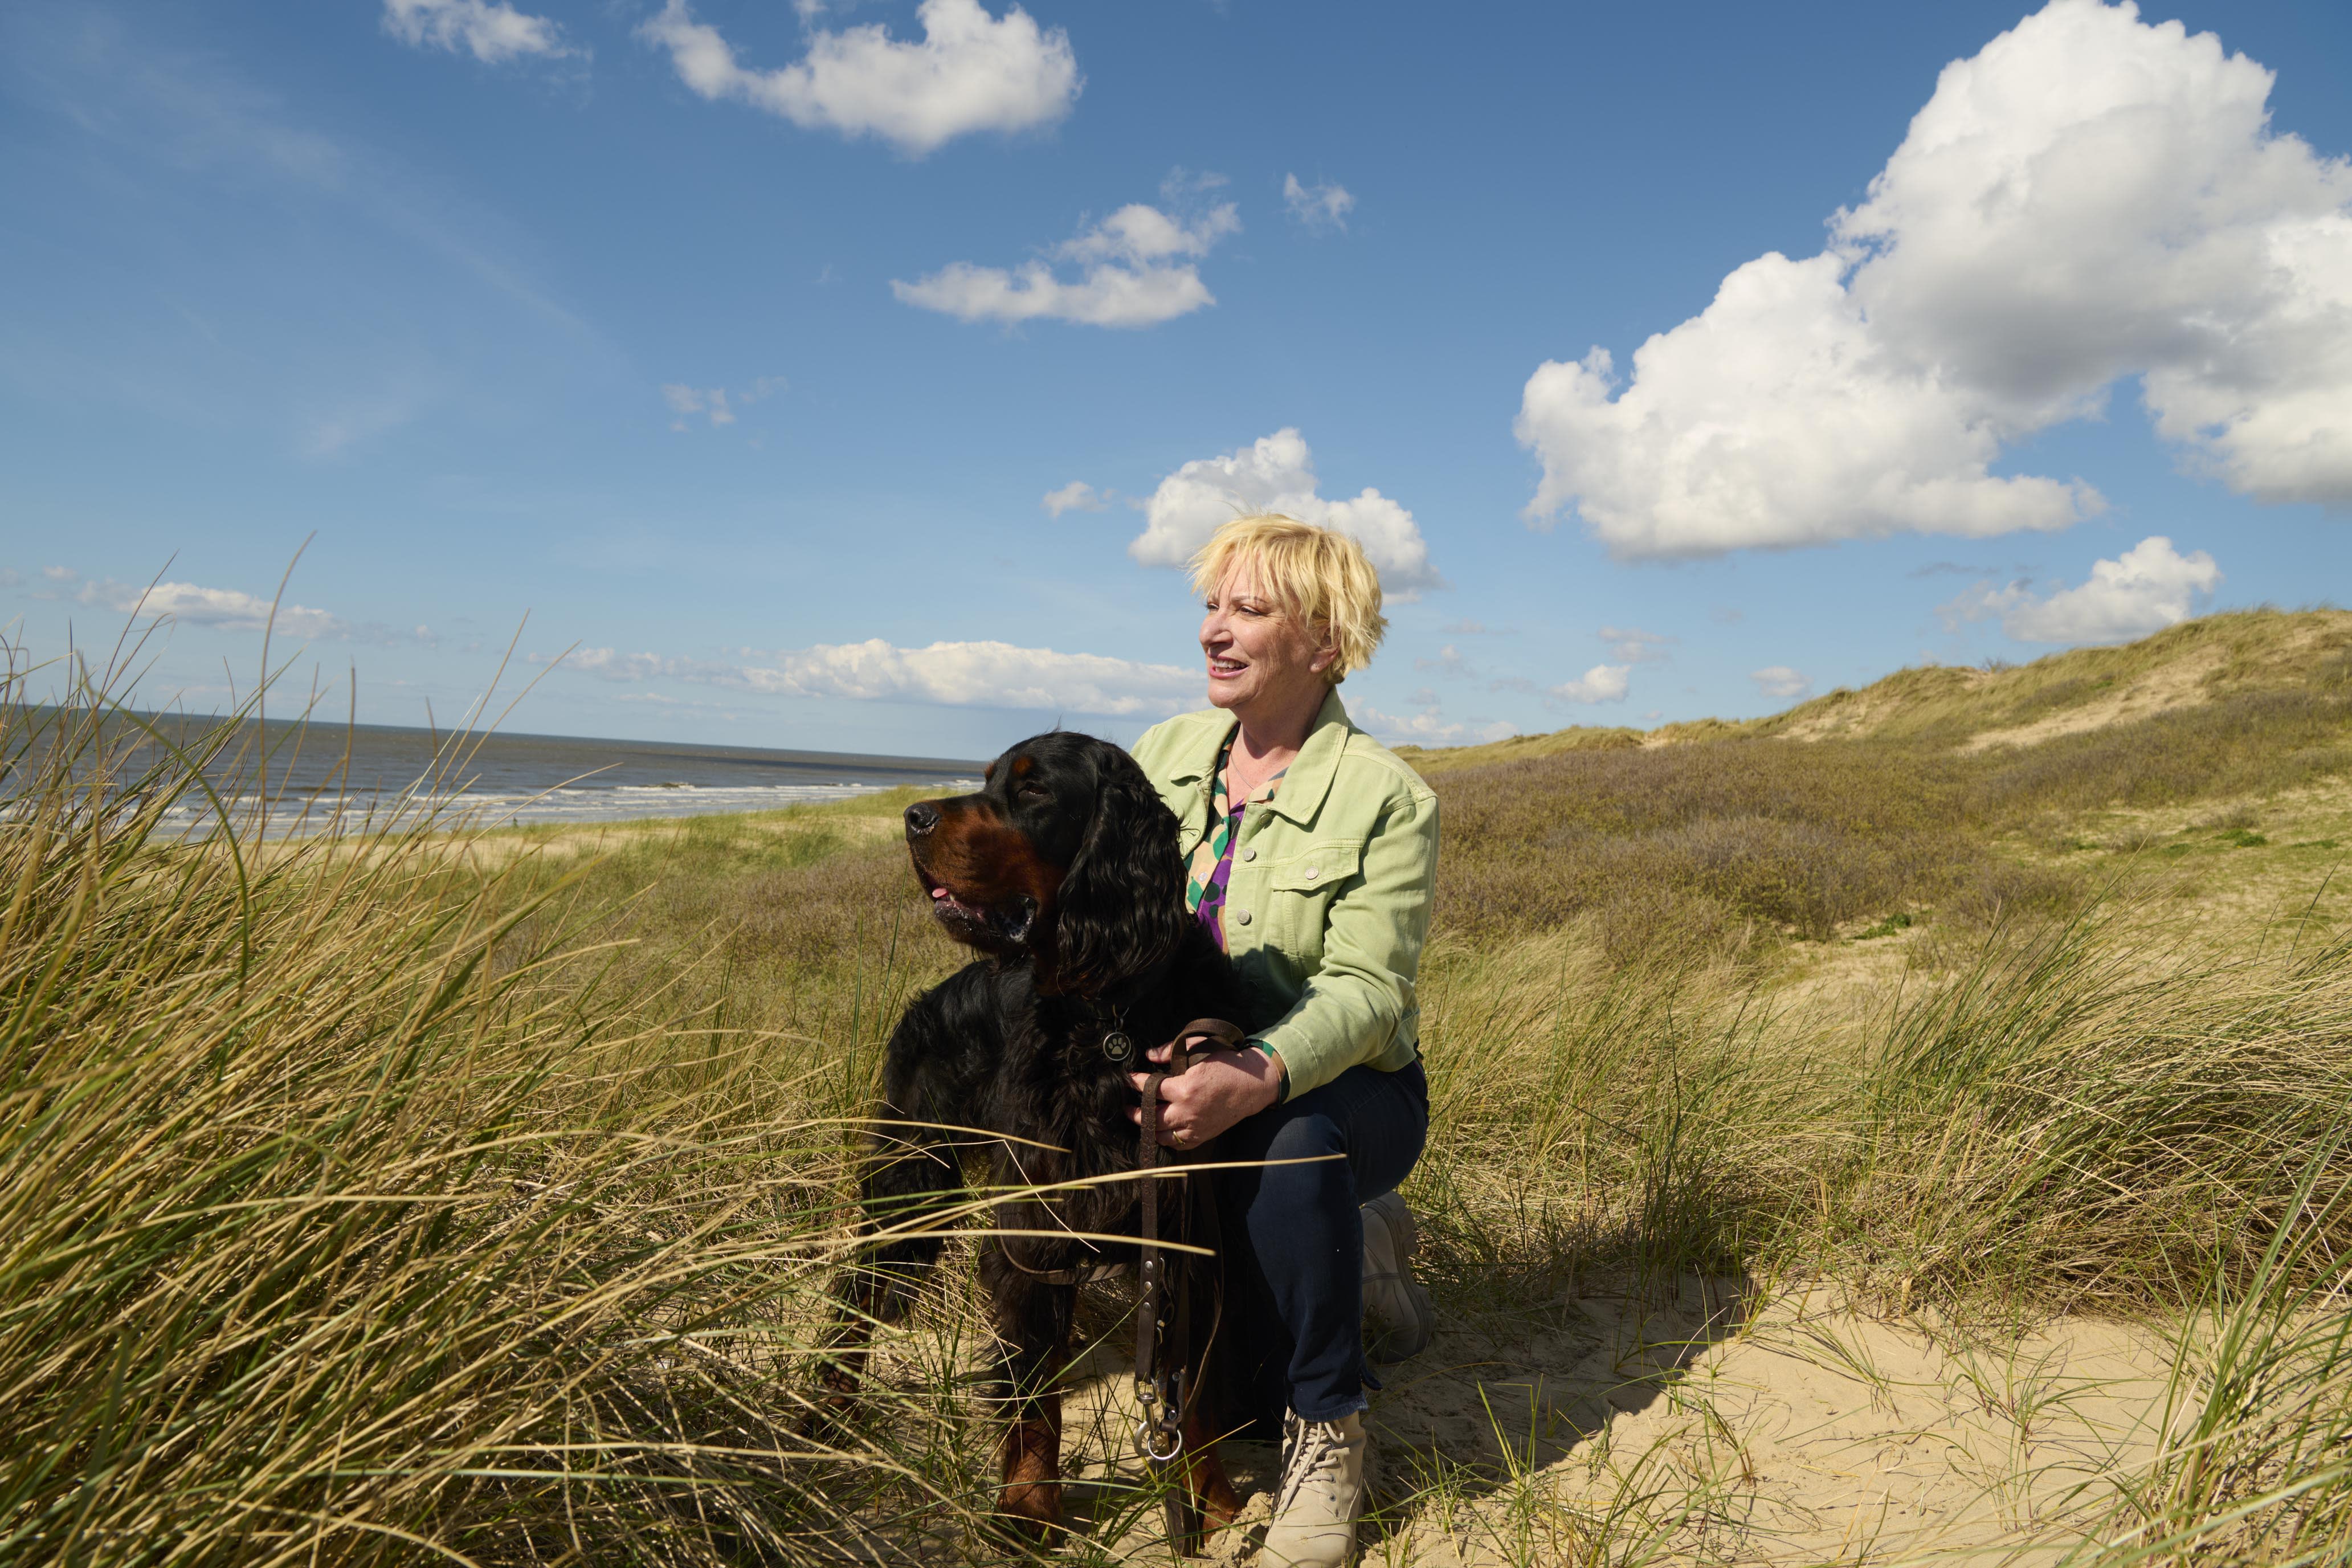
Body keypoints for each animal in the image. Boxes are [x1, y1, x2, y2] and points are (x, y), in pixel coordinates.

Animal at [837, 738, 1260, 1542]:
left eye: (1033, 792)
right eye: (987, 780)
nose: (914, 816)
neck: (1110, 1019)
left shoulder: (1187, 1227)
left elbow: (1189, 1385)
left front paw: (1210, 1496)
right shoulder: (1034, 1225)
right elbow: (1033, 1389)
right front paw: (1030, 1505)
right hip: (911, 1176)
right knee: (855, 1292)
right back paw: (824, 1411)